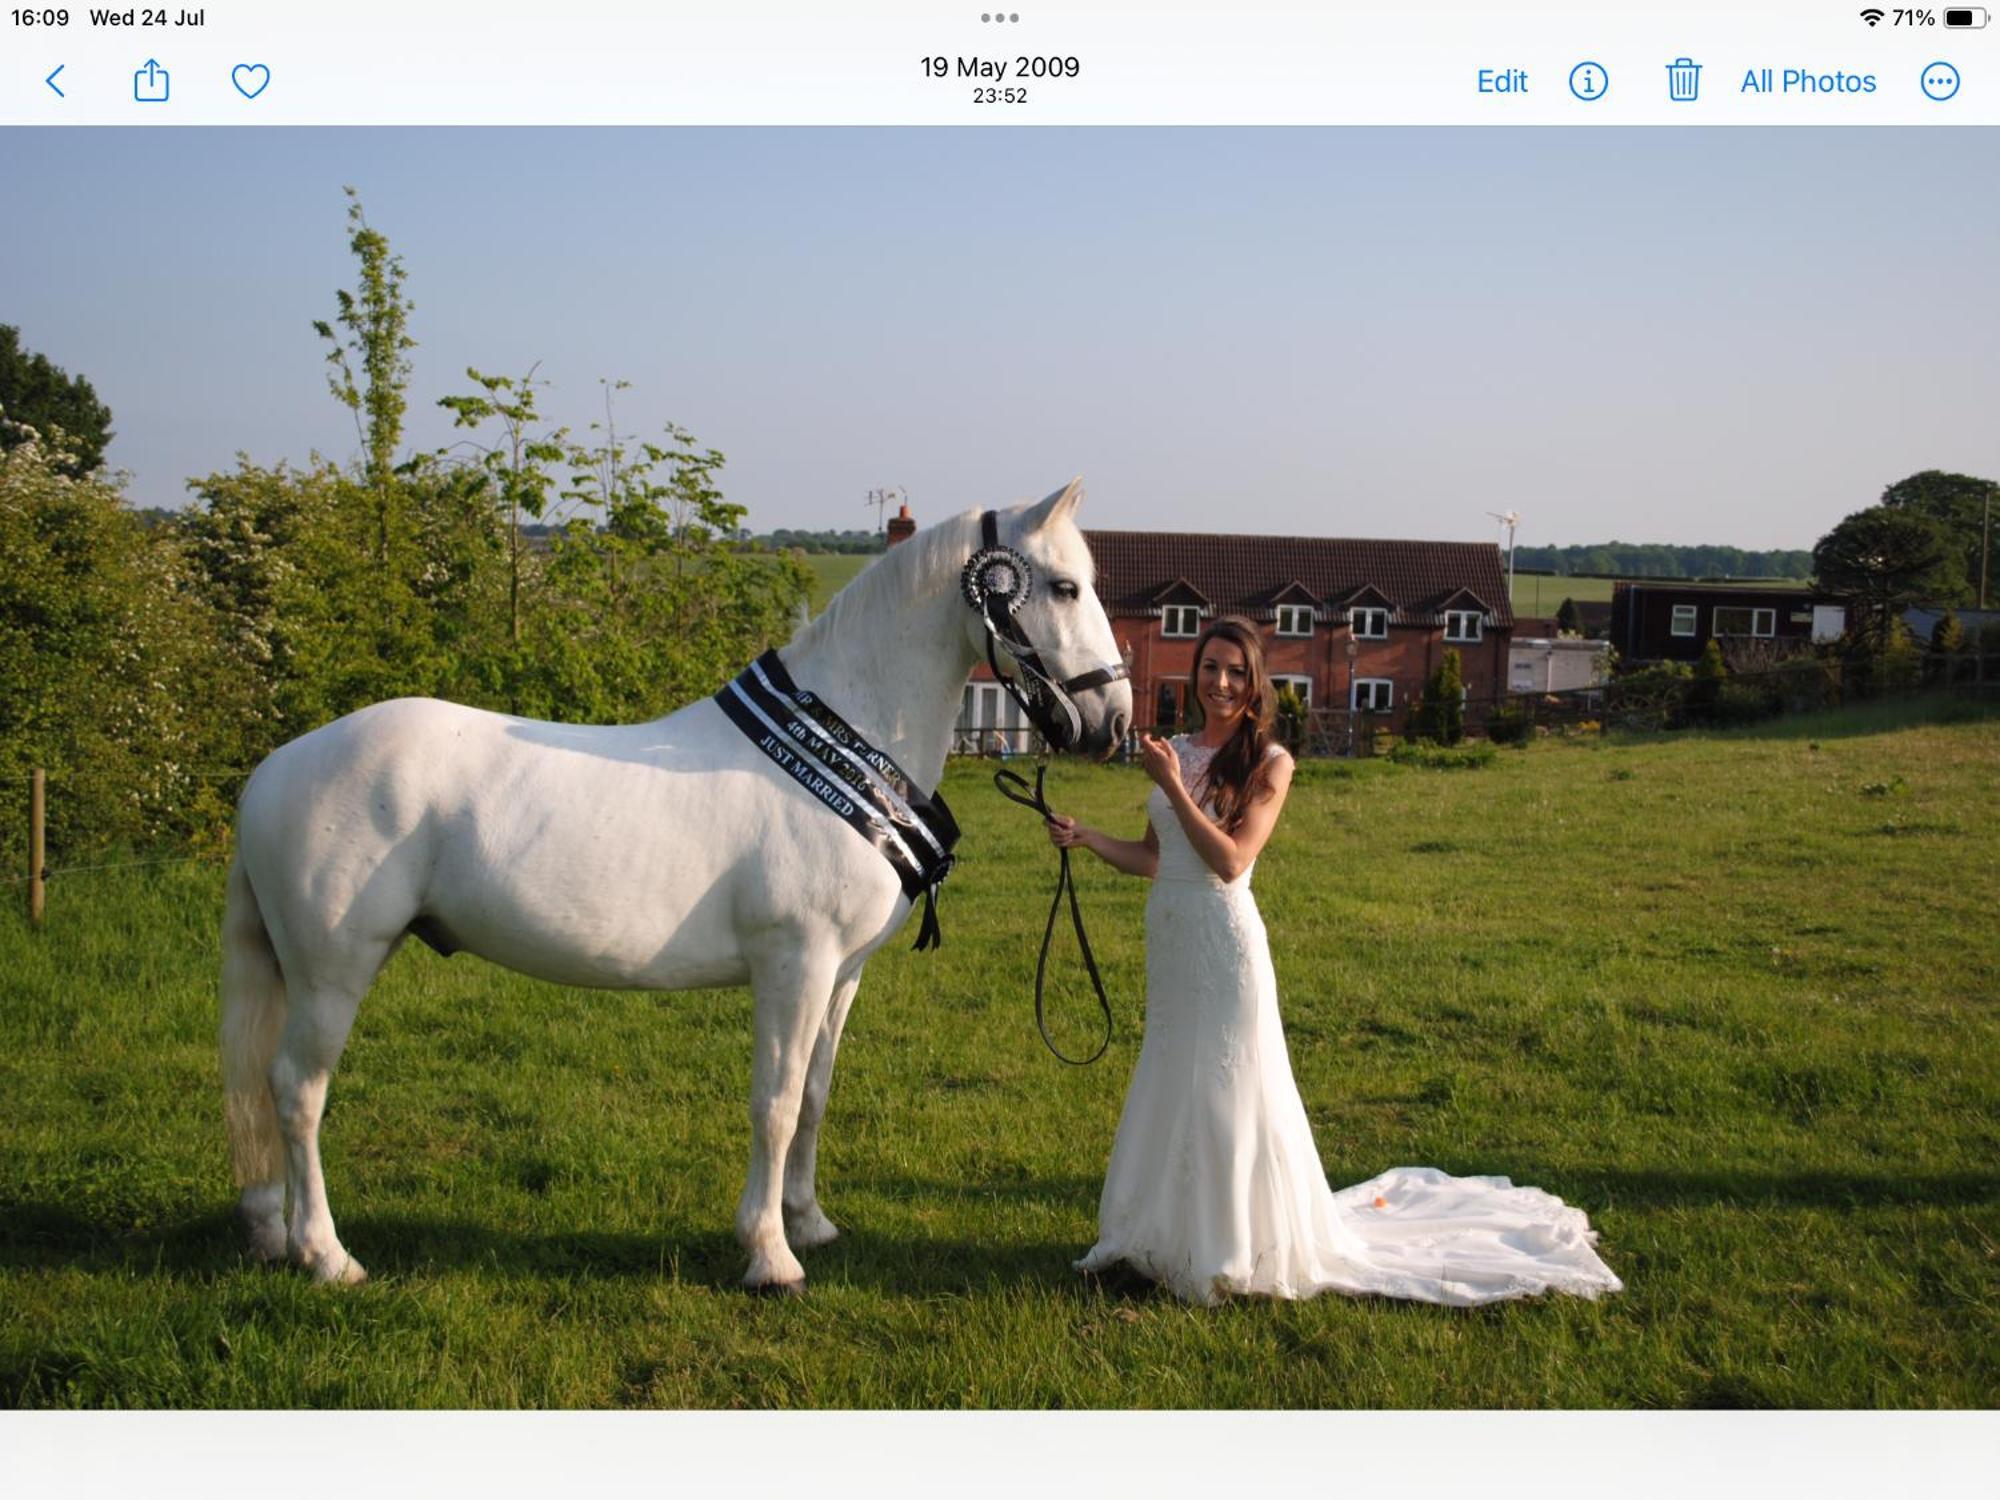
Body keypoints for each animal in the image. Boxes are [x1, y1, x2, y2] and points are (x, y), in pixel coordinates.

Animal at [223, 482, 1128, 1296]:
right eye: (1063, 586)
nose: (1113, 722)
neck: (839, 743)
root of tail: (272, 769)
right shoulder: (794, 965)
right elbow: (775, 1102)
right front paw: (770, 1257)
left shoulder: (841, 974)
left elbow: (815, 1095)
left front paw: (810, 1222)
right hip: (334, 972)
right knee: (296, 1091)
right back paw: (326, 1256)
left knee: (262, 1086)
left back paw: (269, 1234)